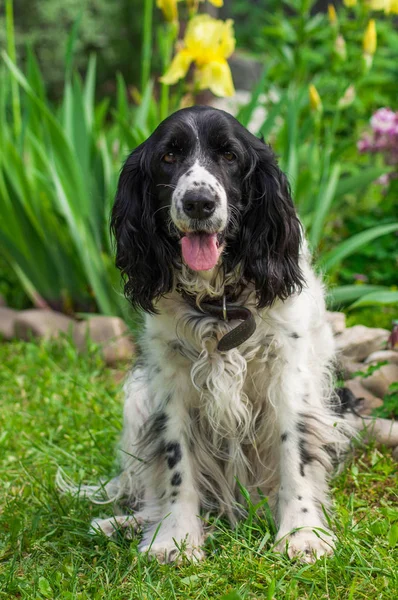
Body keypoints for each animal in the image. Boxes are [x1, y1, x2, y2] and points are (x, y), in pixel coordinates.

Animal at [59, 106, 352, 564]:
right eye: (169, 156)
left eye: (229, 155)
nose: (199, 202)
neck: (219, 303)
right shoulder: (170, 381)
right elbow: (176, 464)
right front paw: (173, 538)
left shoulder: (289, 375)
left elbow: (295, 454)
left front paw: (303, 533)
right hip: (137, 400)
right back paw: (126, 523)